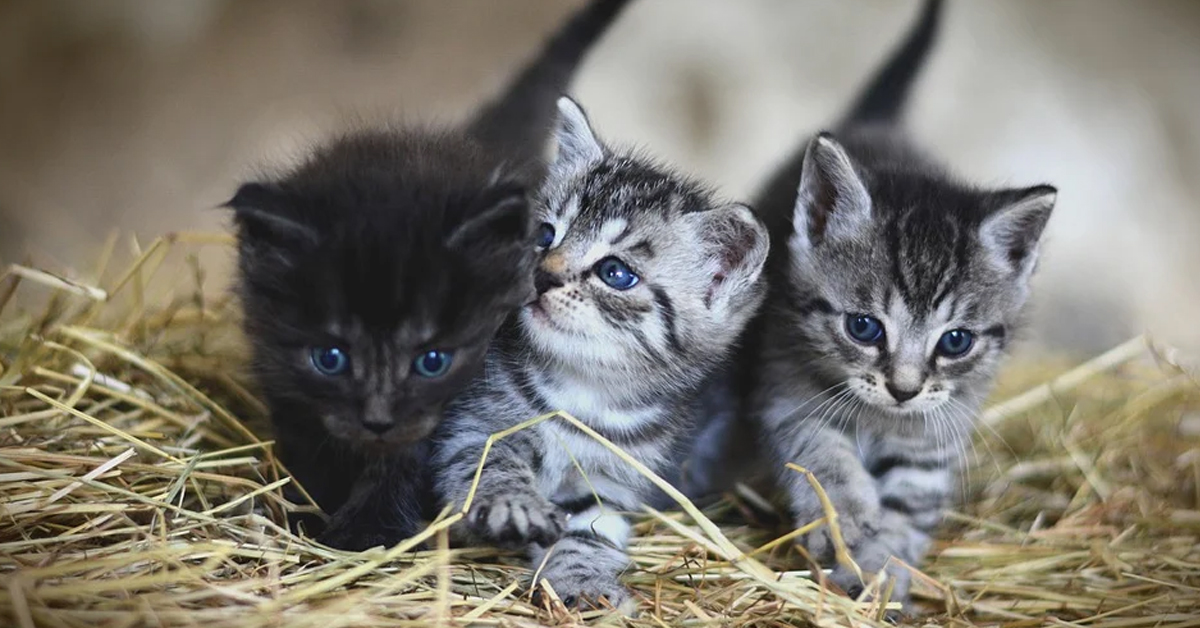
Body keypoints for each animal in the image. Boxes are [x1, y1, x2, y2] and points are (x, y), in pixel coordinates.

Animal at [228, 0, 633, 549]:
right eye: (330, 358)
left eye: (432, 361)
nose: (378, 420)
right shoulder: (284, 380)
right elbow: (310, 445)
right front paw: (310, 509)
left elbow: (405, 460)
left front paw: (367, 531)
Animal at [434, 97, 768, 609]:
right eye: (545, 235)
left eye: (615, 273)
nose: (543, 276)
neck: (585, 390)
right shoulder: (472, 425)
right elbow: (488, 462)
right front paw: (513, 502)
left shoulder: (612, 482)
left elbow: (589, 532)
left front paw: (584, 582)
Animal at [748, 0, 1060, 605]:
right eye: (865, 328)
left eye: (956, 341)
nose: (904, 389)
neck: (879, 419)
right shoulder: (784, 385)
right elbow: (822, 455)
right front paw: (846, 521)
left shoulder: (937, 431)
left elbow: (910, 503)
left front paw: (883, 569)